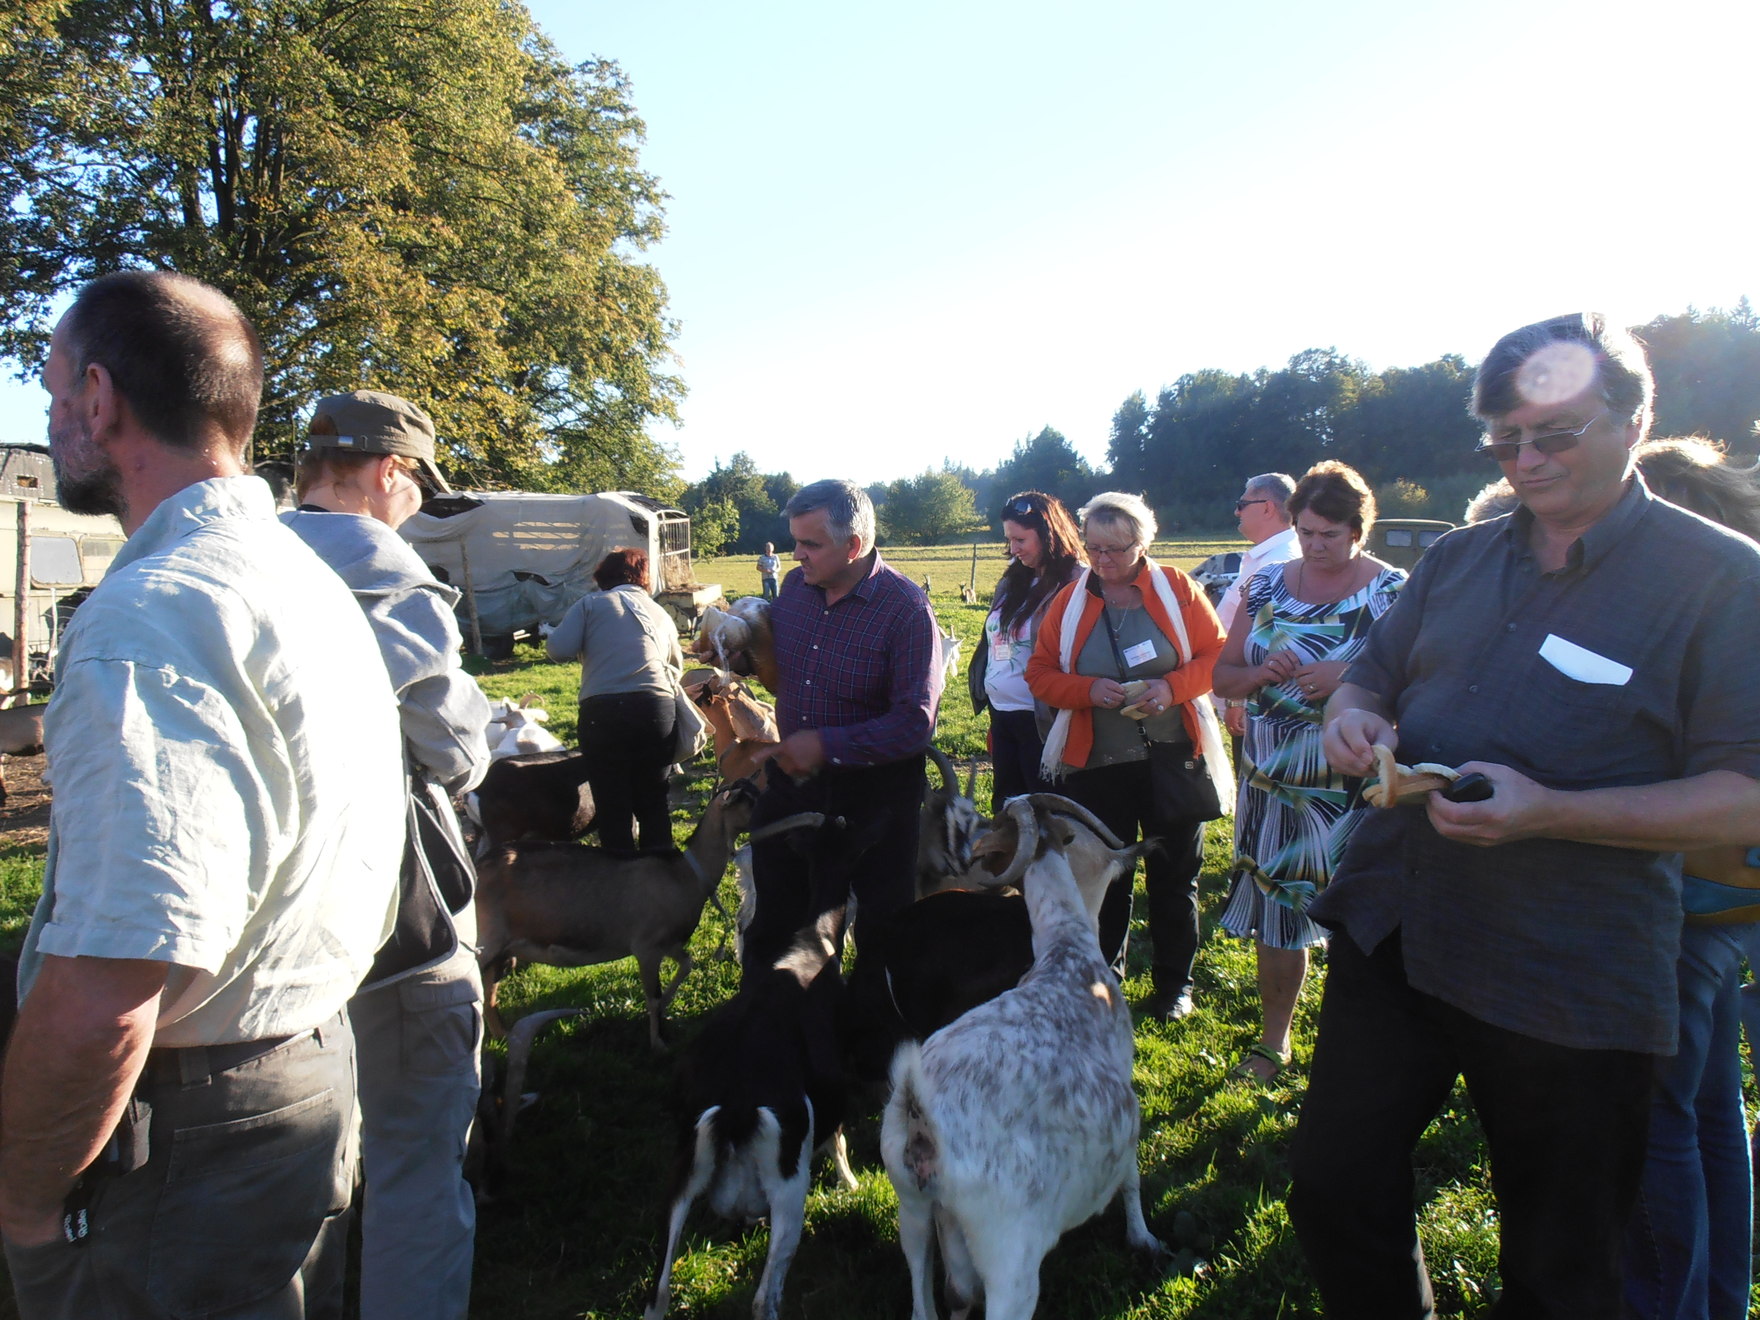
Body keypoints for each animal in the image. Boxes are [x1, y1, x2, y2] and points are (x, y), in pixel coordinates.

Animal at [651, 908, 862, 1320]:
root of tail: (737, 1106)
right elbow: (838, 1142)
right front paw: (851, 1184)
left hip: (681, 1175)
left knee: (659, 1292)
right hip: (789, 1191)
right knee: (765, 1299)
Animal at [887, 795, 1161, 1320]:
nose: (964, 844)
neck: (1066, 950)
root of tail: (922, 1118)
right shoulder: (1127, 1087)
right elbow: (1132, 1175)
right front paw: (1143, 1238)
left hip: (912, 1205)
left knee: (927, 1287)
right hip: (1008, 1254)